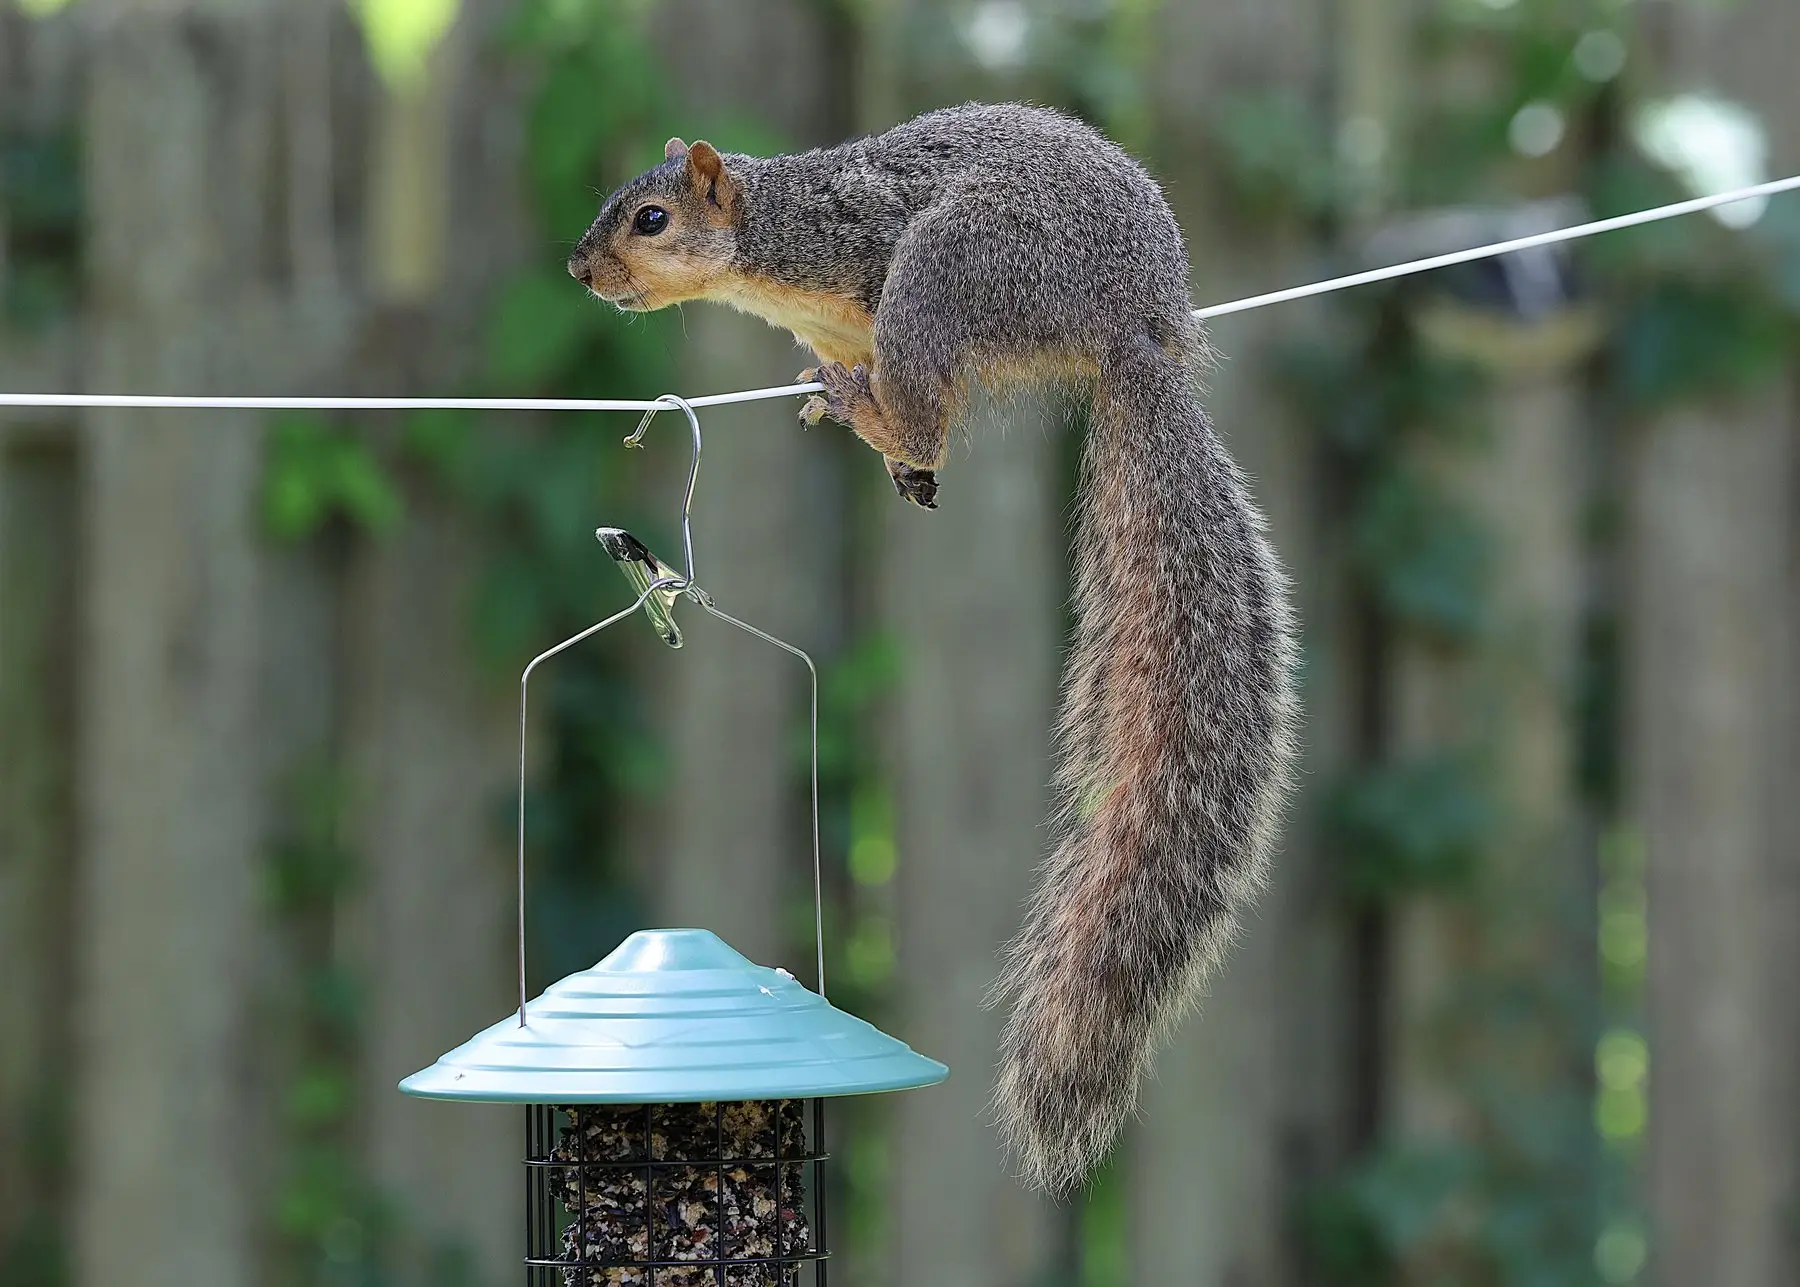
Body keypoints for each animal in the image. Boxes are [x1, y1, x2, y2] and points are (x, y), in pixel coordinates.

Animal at [567, 103, 1300, 1193]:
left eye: (651, 218)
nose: (580, 268)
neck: (768, 250)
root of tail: (1130, 322)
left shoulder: (858, 244)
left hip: (946, 270)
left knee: (925, 406)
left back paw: (870, 414)